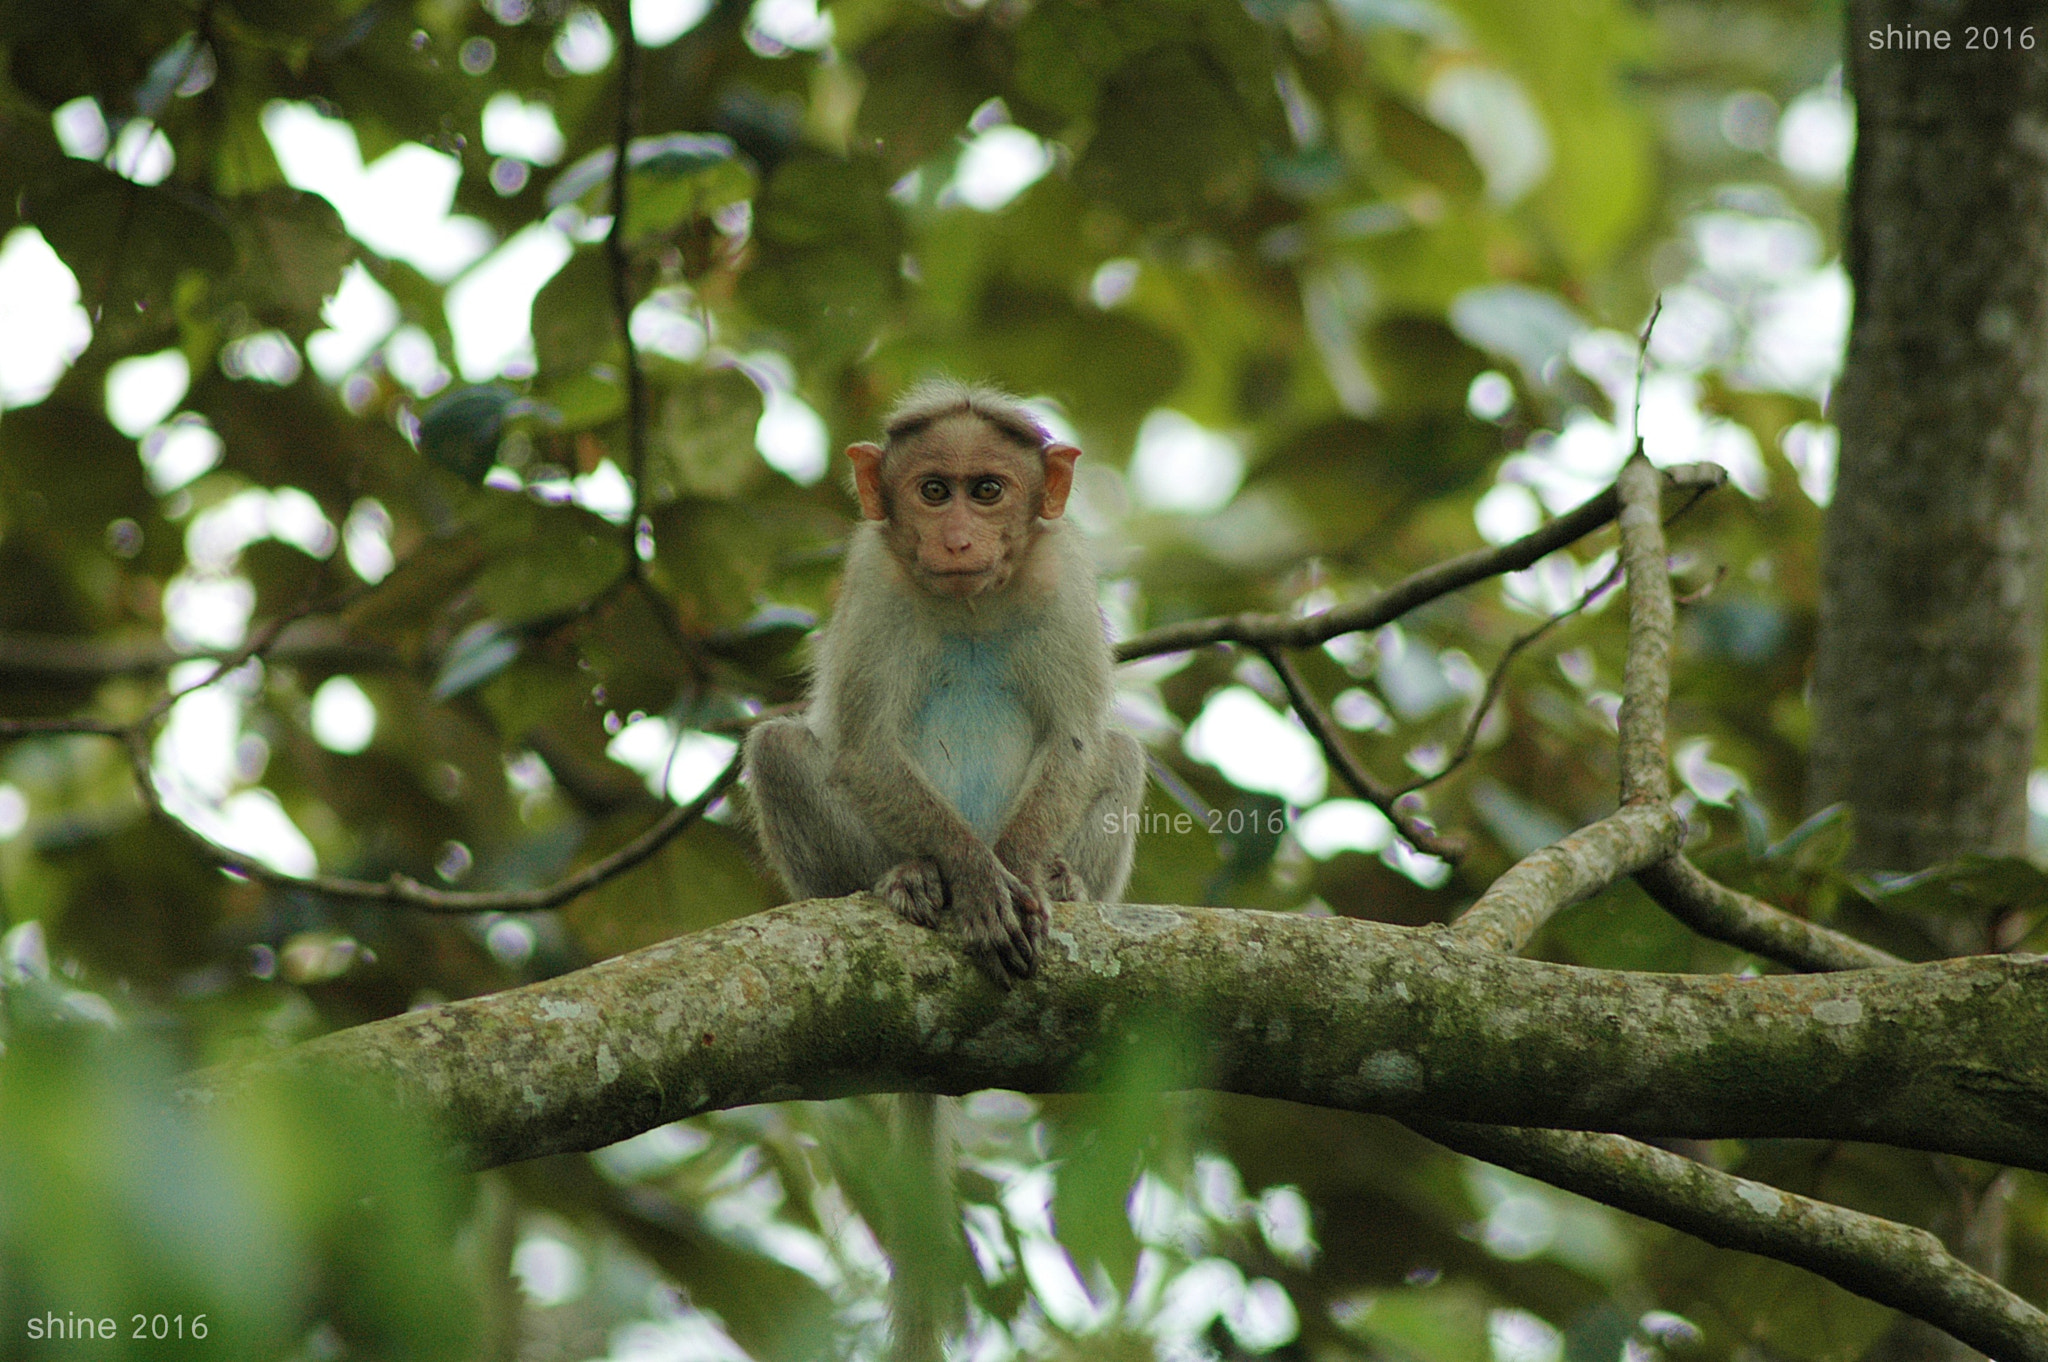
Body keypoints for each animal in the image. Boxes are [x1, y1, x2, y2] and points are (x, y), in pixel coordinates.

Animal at [744, 379, 1145, 981]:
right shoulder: (875, 580)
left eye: (986, 490)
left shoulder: (1061, 578)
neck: (970, 604)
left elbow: (1073, 741)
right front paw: (974, 875)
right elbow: (867, 750)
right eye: (933, 491)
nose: (956, 541)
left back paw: (1063, 881)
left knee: (1119, 752)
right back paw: (908, 876)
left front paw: (1022, 869)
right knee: (776, 748)